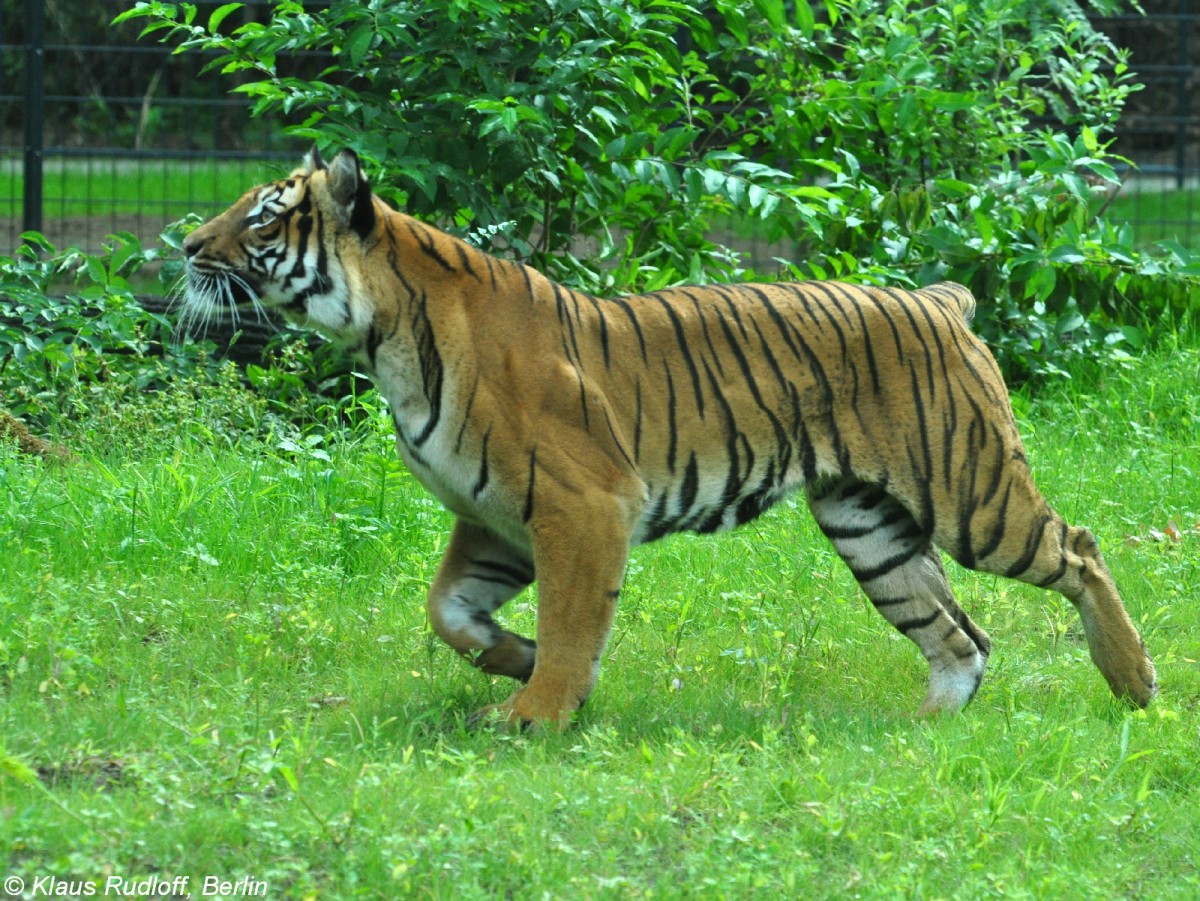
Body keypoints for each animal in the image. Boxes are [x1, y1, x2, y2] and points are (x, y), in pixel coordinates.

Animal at [182, 146, 1156, 724]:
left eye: (262, 216)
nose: (187, 242)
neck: (382, 335)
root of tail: (938, 298)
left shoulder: (583, 503)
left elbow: (573, 620)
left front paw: (538, 710)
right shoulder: (494, 516)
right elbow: (449, 610)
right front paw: (514, 659)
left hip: (970, 492)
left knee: (1078, 547)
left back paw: (1133, 680)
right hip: (868, 523)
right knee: (961, 637)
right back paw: (920, 729)